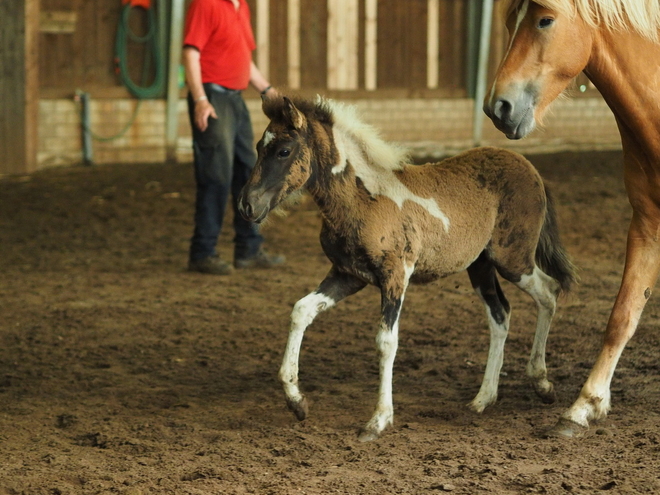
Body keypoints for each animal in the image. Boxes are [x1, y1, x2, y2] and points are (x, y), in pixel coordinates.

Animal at [240, 96, 576, 442]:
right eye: (259, 146)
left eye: (284, 151)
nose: (247, 205)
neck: (363, 198)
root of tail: (529, 166)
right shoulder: (347, 275)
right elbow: (301, 310)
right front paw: (296, 402)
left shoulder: (396, 275)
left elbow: (386, 342)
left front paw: (378, 420)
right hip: (480, 266)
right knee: (501, 315)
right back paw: (483, 399)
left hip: (513, 259)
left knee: (549, 292)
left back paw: (542, 383)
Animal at [482, 0, 660, 434]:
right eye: (509, 21)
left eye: (546, 19)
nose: (498, 108)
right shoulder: (647, 224)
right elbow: (622, 315)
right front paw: (585, 404)